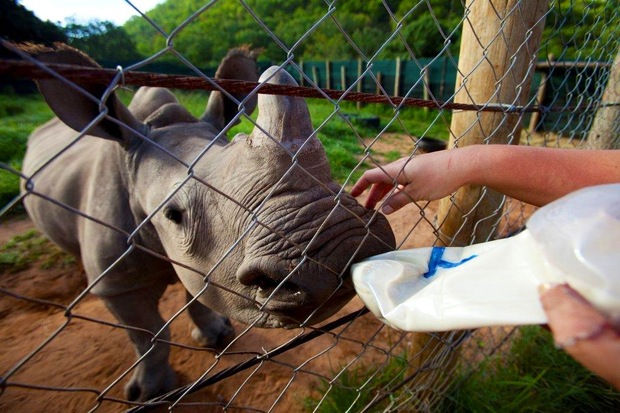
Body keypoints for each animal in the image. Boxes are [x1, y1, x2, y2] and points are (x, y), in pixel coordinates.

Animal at [19, 44, 395, 401]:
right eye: (173, 214)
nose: (344, 245)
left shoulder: (202, 259)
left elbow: (197, 293)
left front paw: (216, 335)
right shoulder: (117, 284)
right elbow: (148, 335)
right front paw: (149, 393)